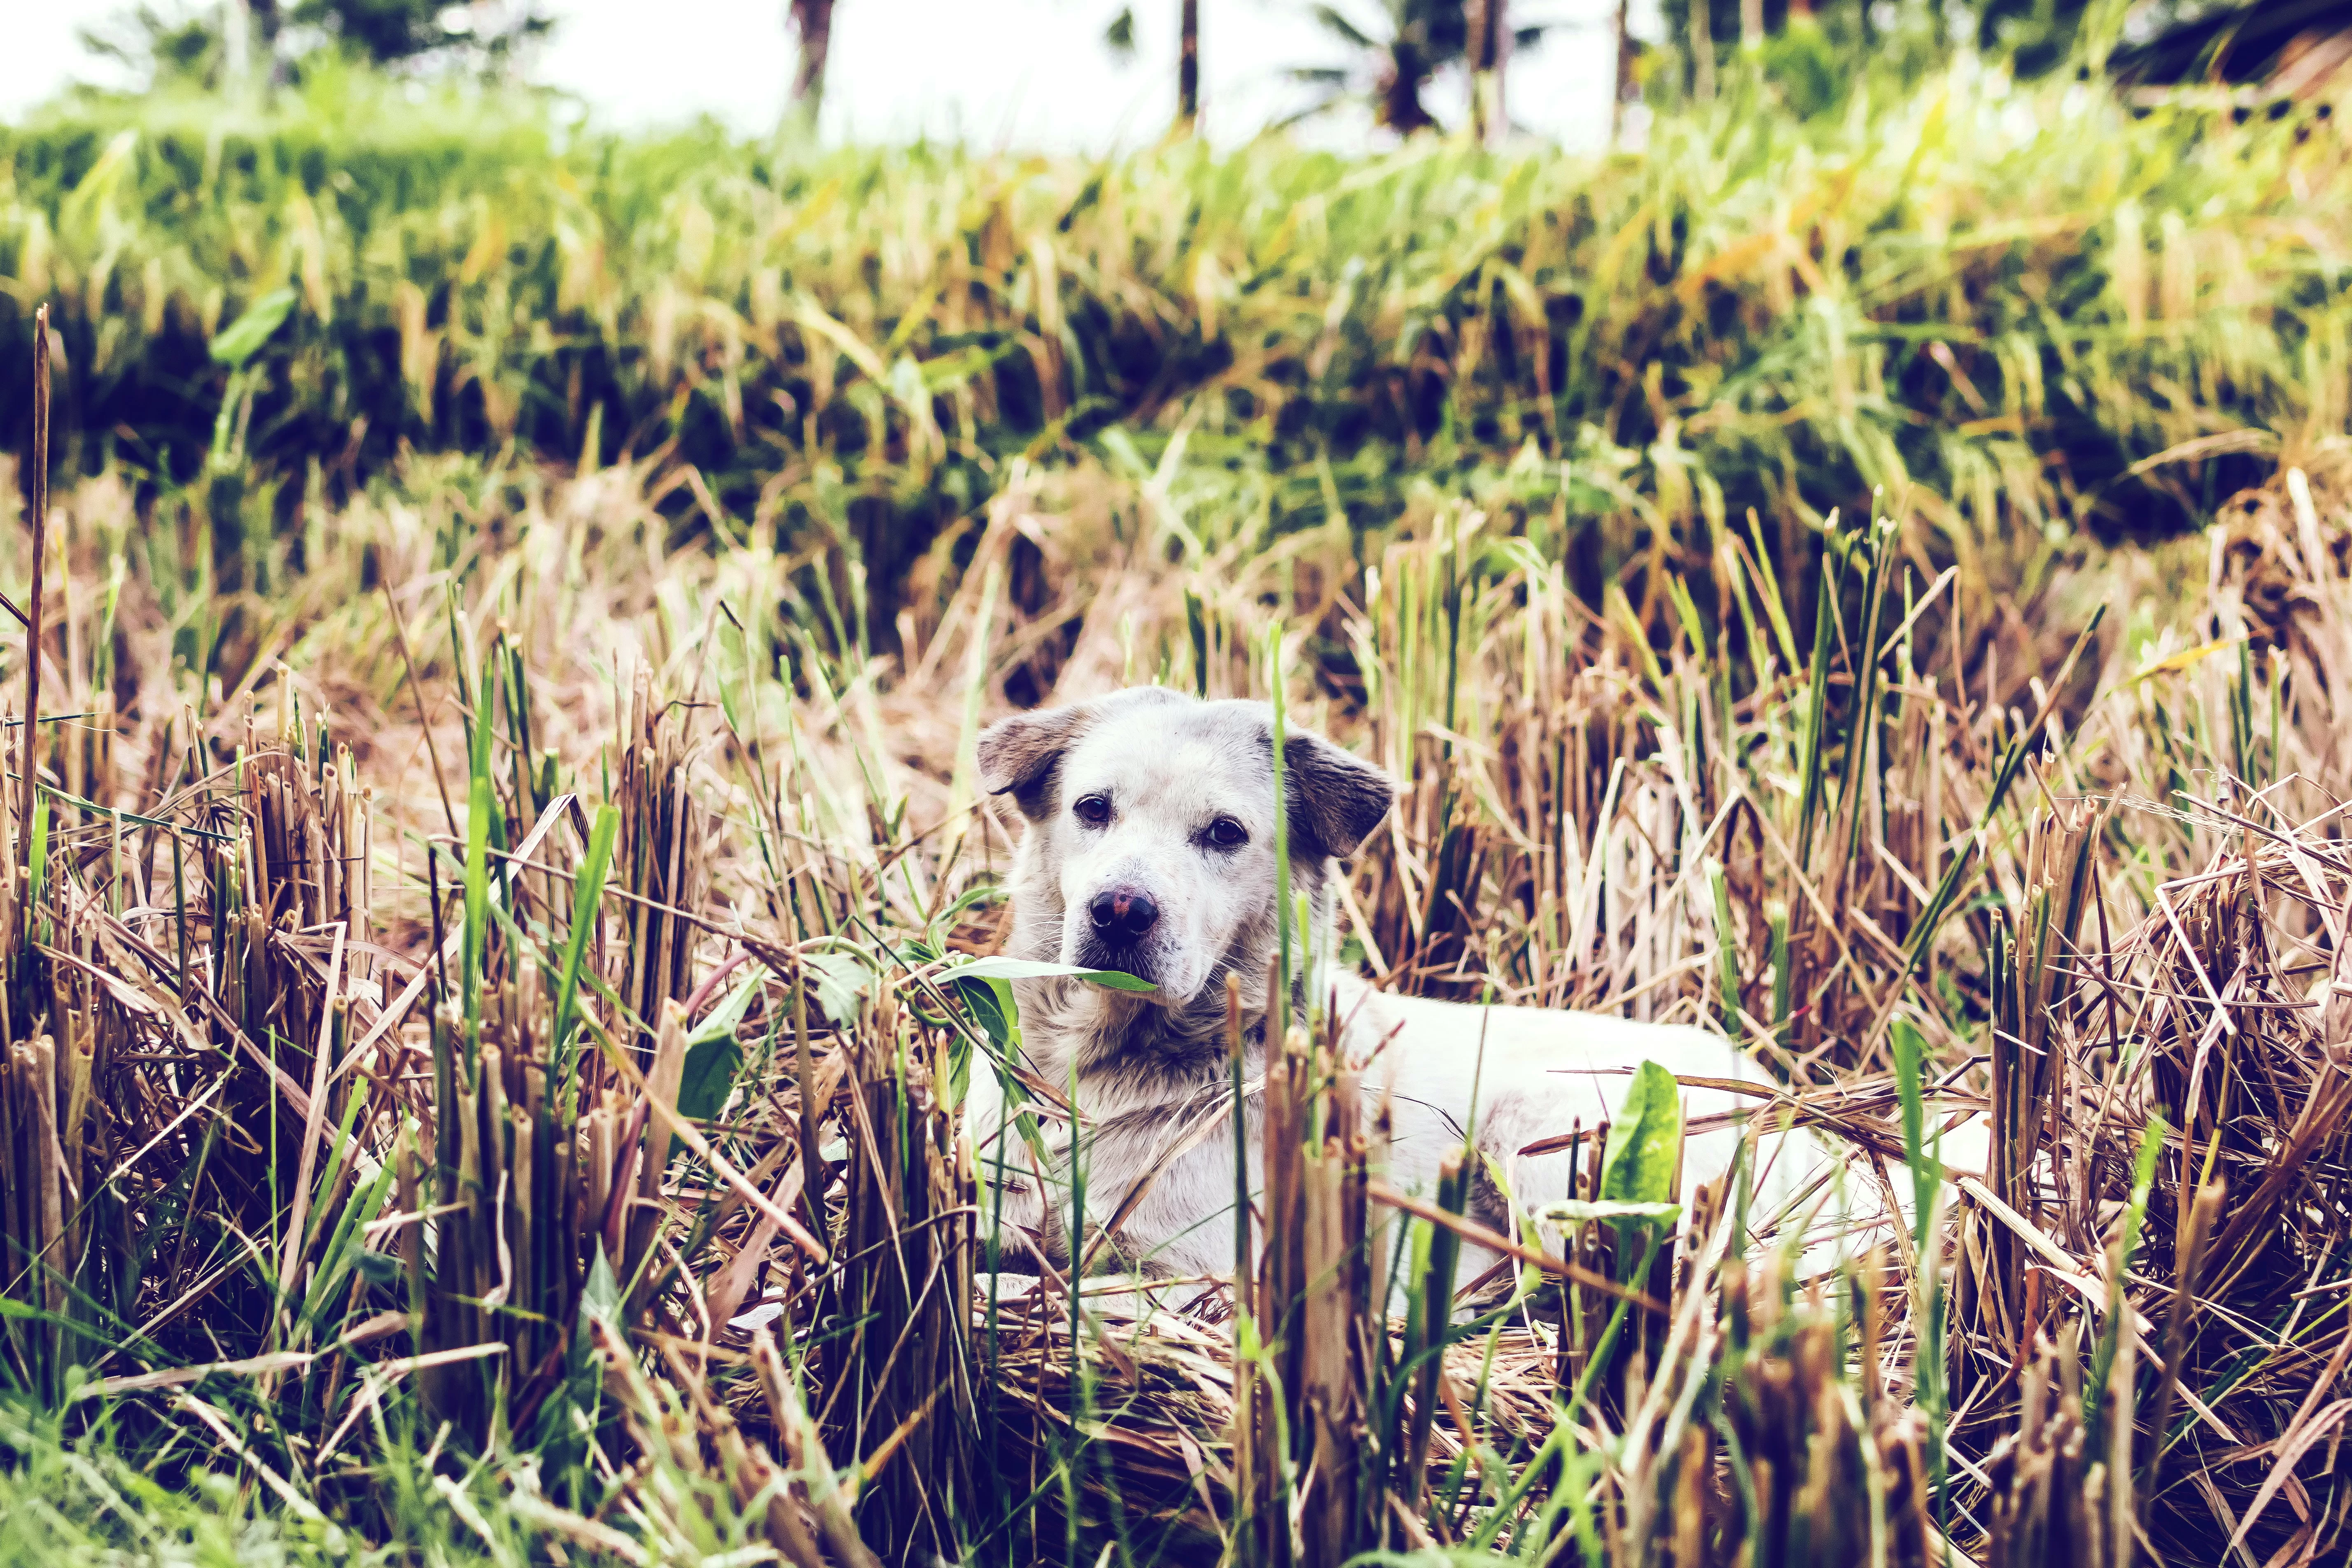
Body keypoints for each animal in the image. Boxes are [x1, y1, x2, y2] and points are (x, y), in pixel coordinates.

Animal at [959, 691, 1966, 1297]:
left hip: (1548, 1133)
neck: (1110, 1071)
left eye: (1225, 832)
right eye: (1093, 808)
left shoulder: (1197, 1278)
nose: (1121, 909)